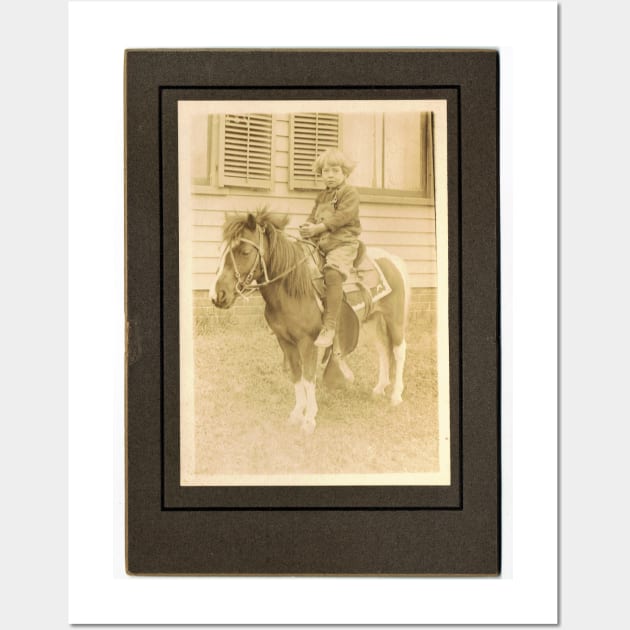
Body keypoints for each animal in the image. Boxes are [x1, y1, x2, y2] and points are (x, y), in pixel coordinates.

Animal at [210, 210, 412, 436]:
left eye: (244, 252)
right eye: (222, 250)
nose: (218, 295)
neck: (292, 288)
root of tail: (392, 259)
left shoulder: (308, 342)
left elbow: (308, 378)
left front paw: (309, 420)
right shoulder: (285, 342)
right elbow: (297, 377)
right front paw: (297, 414)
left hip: (394, 319)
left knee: (398, 351)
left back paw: (396, 395)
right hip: (373, 320)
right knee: (383, 350)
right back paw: (379, 389)